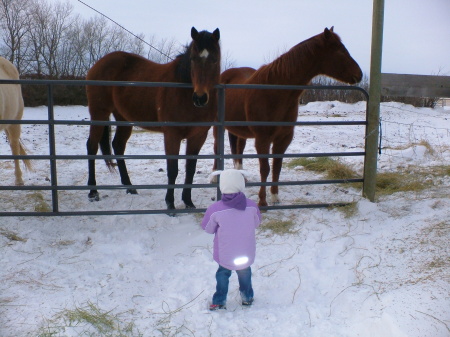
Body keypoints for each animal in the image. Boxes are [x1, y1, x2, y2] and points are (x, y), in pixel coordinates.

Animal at [85, 26, 220, 210]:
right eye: (193, 58)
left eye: (214, 59)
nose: (200, 98)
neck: (183, 92)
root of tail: (97, 64)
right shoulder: (172, 135)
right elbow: (173, 169)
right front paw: (170, 204)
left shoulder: (198, 136)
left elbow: (190, 169)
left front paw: (188, 202)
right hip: (99, 114)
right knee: (92, 146)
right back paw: (93, 191)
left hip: (123, 119)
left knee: (118, 146)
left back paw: (130, 187)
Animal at [214, 26, 362, 205]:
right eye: (339, 51)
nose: (359, 74)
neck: (275, 92)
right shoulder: (262, 139)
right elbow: (265, 168)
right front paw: (262, 201)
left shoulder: (283, 138)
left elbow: (277, 167)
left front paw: (275, 197)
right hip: (216, 126)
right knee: (216, 148)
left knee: (239, 150)